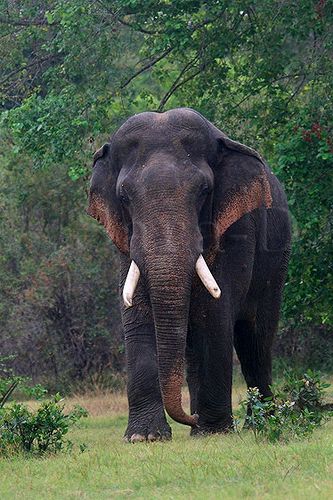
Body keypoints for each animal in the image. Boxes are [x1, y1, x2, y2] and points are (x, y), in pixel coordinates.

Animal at [86, 106, 290, 442]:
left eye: (205, 191)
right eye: (124, 197)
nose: (190, 418)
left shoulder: (236, 228)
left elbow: (213, 313)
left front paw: (214, 431)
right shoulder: (124, 240)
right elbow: (137, 313)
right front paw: (145, 437)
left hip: (277, 260)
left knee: (255, 339)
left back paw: (259, 422)